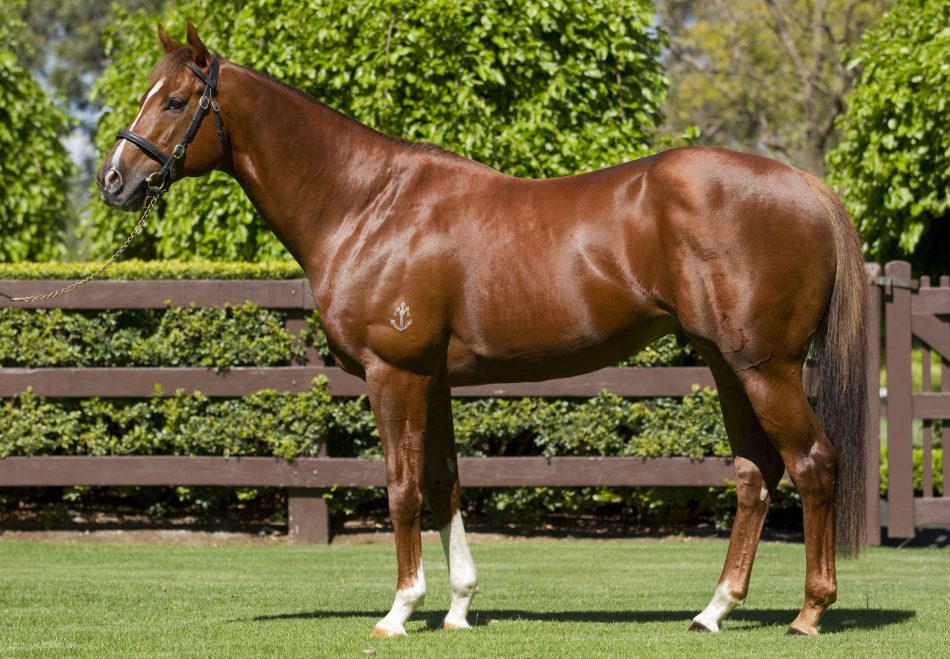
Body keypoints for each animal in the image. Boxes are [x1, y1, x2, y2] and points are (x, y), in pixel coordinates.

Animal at [98, 25, 872, 640]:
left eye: (174, 101)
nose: (114, 180)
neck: (366, 204)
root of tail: (806, 186)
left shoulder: (395, 374)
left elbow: (402, 487)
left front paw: (399, 611)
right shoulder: (433, 378)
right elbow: (444, 484)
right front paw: (458, 607)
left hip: (765, 367)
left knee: (813, 463)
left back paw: (809, 613)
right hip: (726, 364)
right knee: (755, 473)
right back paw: (713, 610)